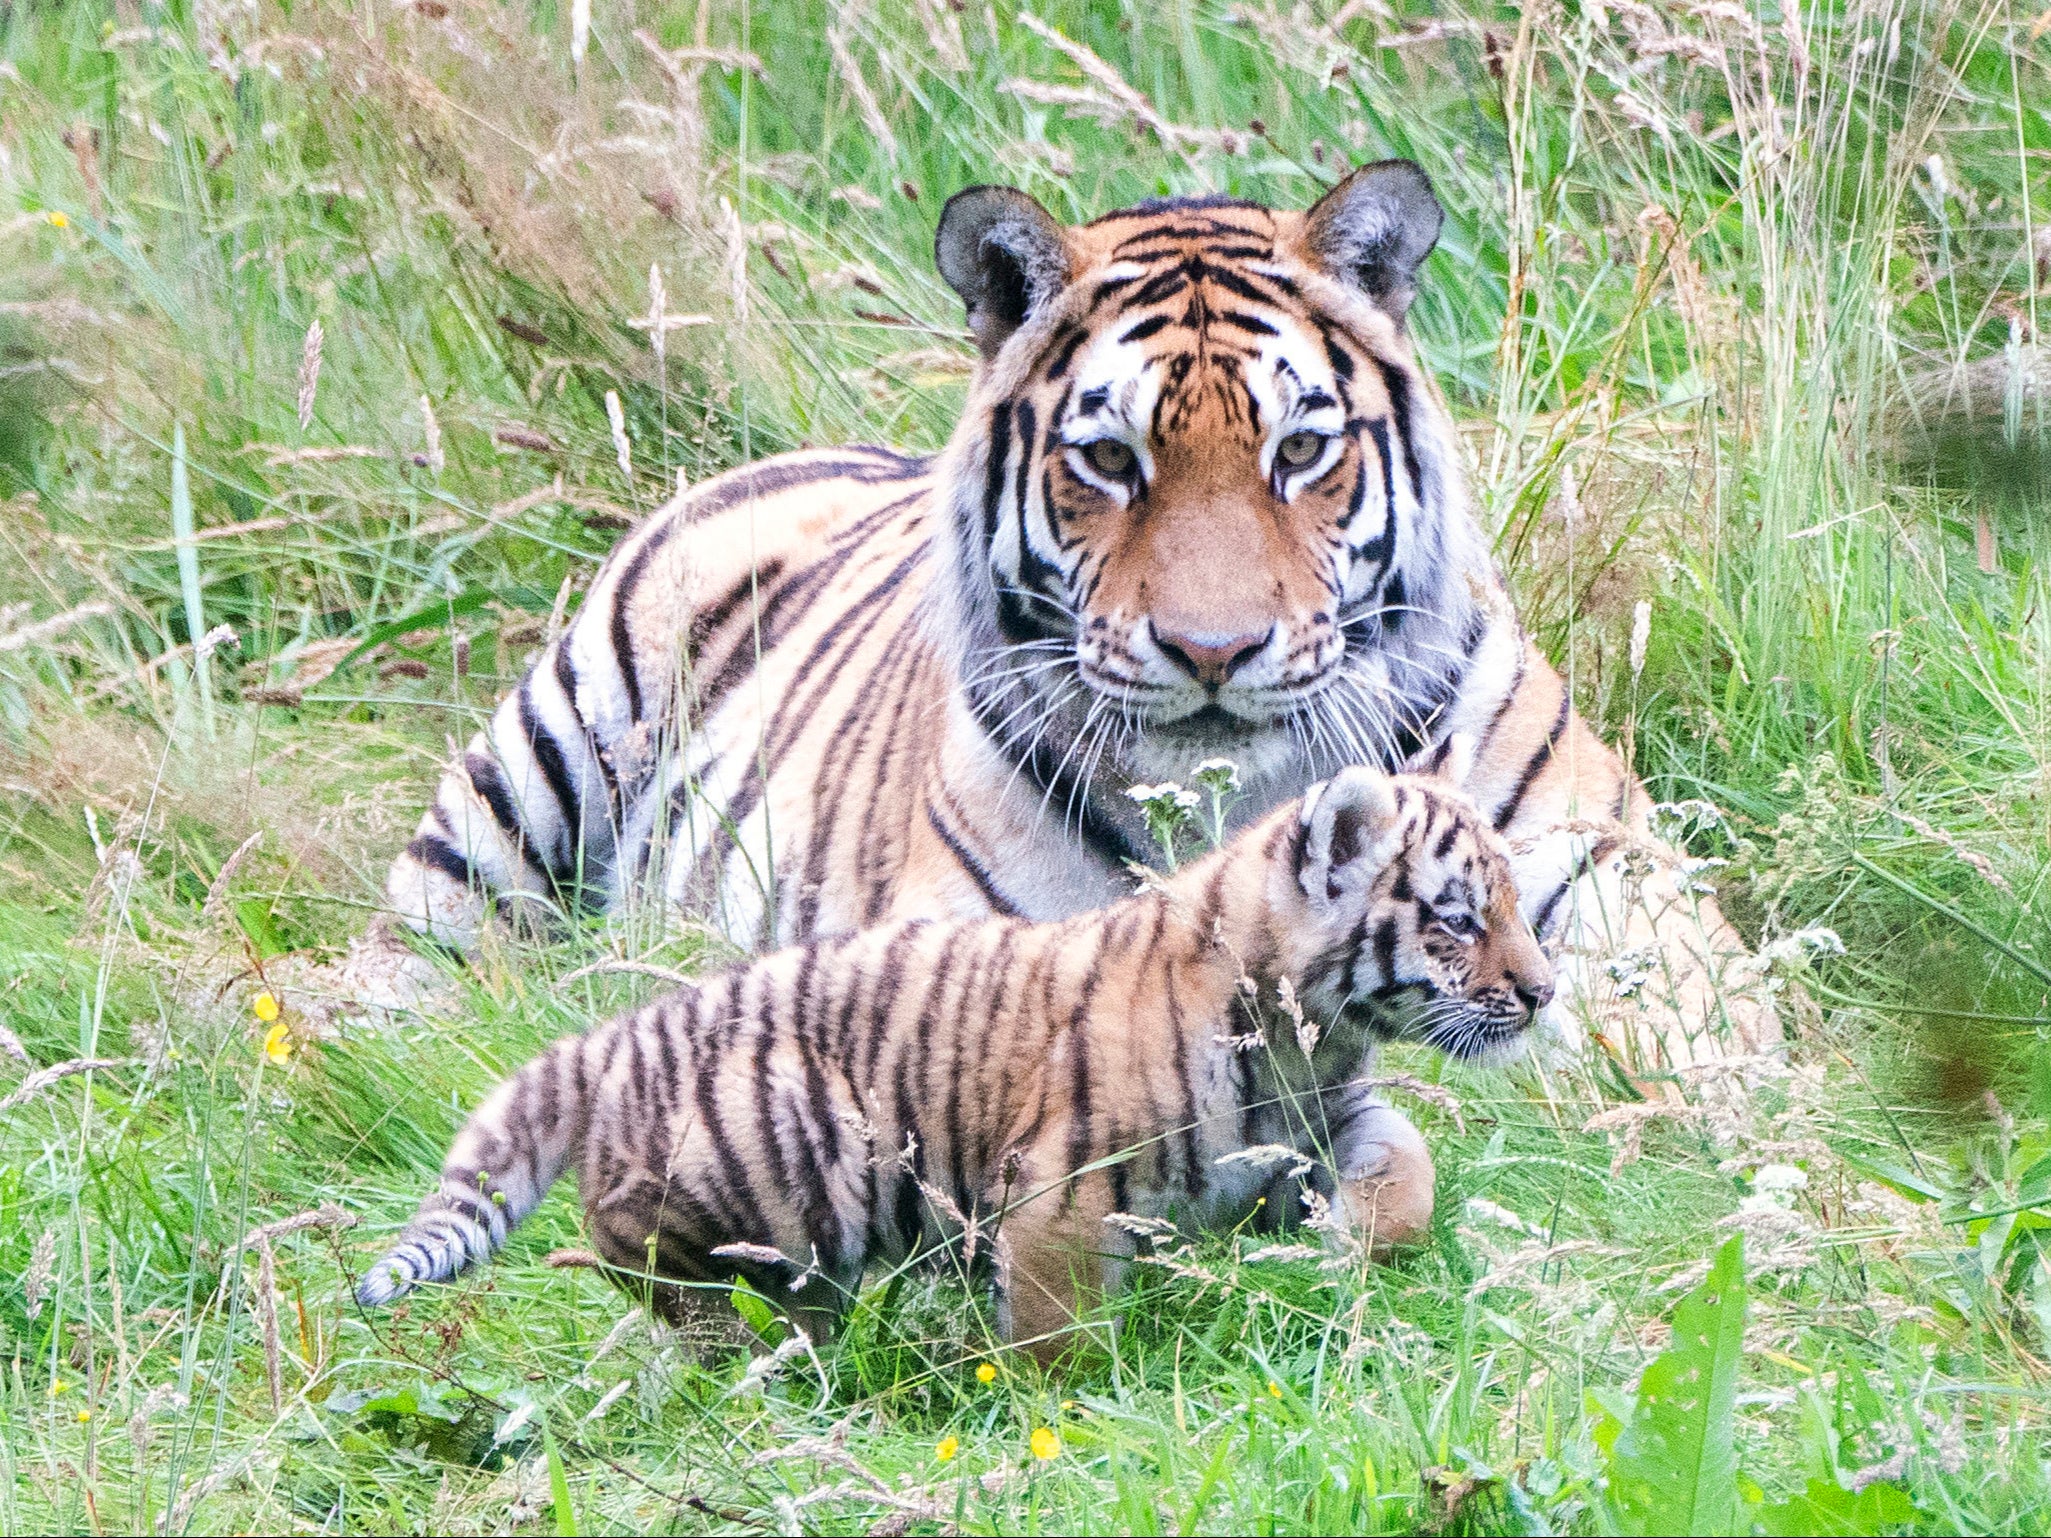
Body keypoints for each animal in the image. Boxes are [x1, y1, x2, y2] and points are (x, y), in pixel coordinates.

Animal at [391, 159, 1772, 1074]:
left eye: (1300, 449)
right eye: (1110, 460)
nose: (1212, 651)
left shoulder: (1640, 914)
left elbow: (1696, 1045)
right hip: (533, 761)